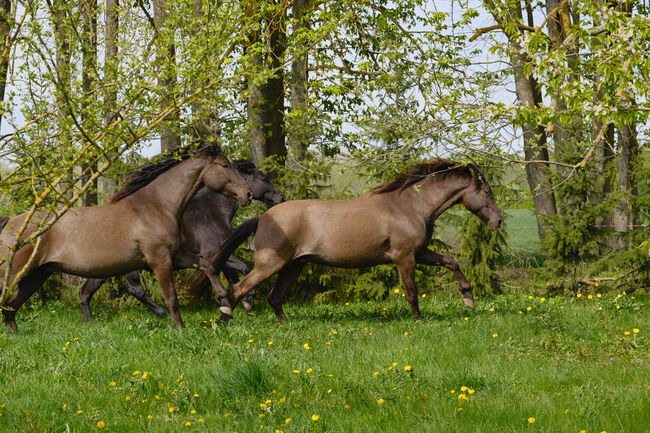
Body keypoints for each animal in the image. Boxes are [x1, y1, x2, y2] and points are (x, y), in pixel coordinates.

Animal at [0, 145, 251, 330]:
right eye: (225, 165)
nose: (247, 194)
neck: (157, 206)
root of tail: (11, 222)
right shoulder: (159, 261)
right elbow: (171, 297)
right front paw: (181, 329)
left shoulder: (176, 256)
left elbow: (207, 265)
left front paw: (225, 307)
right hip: (12, 274)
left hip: (37, 275)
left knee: (10, 309)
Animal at [76, 159, 284, 320]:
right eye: (263, 177)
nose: (281, 197)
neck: (211, 212)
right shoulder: (211, 253)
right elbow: (243, 268)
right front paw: (248, 301)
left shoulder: (221, 253)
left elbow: (232, 276)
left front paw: (238, 303)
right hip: (128, 267)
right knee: (135, 290)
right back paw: (165, 314)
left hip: (106, 267)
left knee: (86, 291)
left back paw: (90, 323)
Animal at [187, 159, 502, 320]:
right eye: (487, 193)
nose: (498, 221)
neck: (410, 207)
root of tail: (263, 217)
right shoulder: (404, 258)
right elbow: (411, 291)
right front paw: (418, 320)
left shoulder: (419, 253)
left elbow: (451, 262)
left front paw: (469, 299)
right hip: (270, 265)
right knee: (240, 289)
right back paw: (223, 321)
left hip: (294, 266)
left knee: (274, 297)